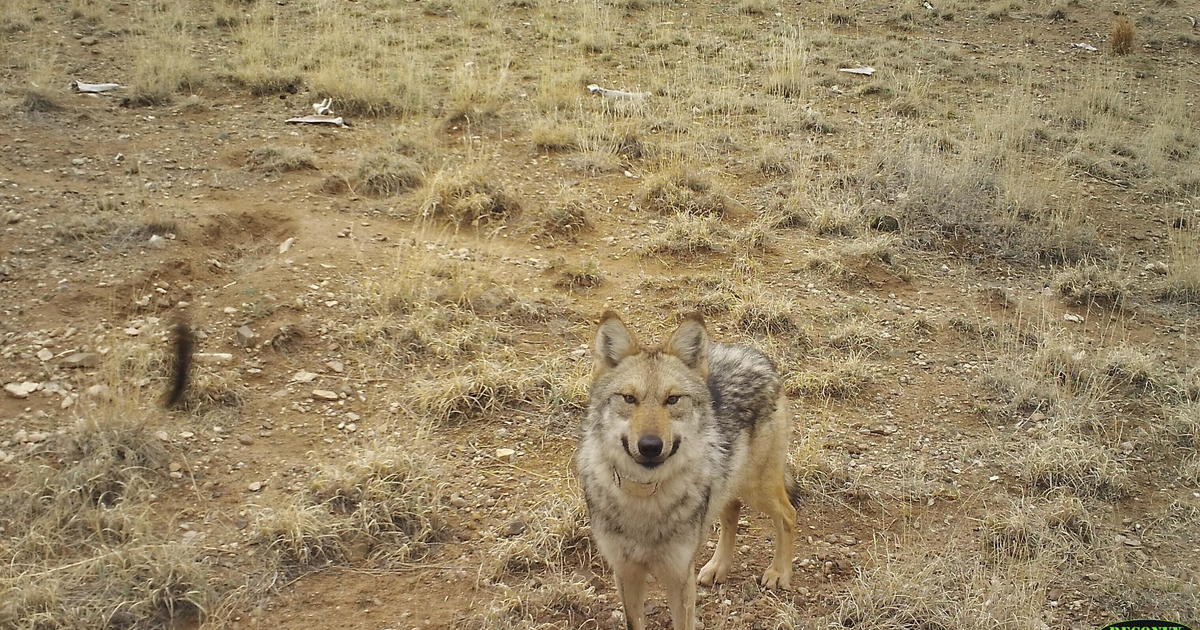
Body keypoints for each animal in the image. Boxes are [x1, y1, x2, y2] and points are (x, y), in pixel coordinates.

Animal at [573, 309, 796, 628]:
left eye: (672, 399)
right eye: (629, 398)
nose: (650, 446)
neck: (644, 499)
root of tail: (755, 354)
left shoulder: (679, 576)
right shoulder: (626, 574)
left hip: (758, 488)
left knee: (788, 514)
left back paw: (779, 572)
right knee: (732, 512)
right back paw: (718, 567)